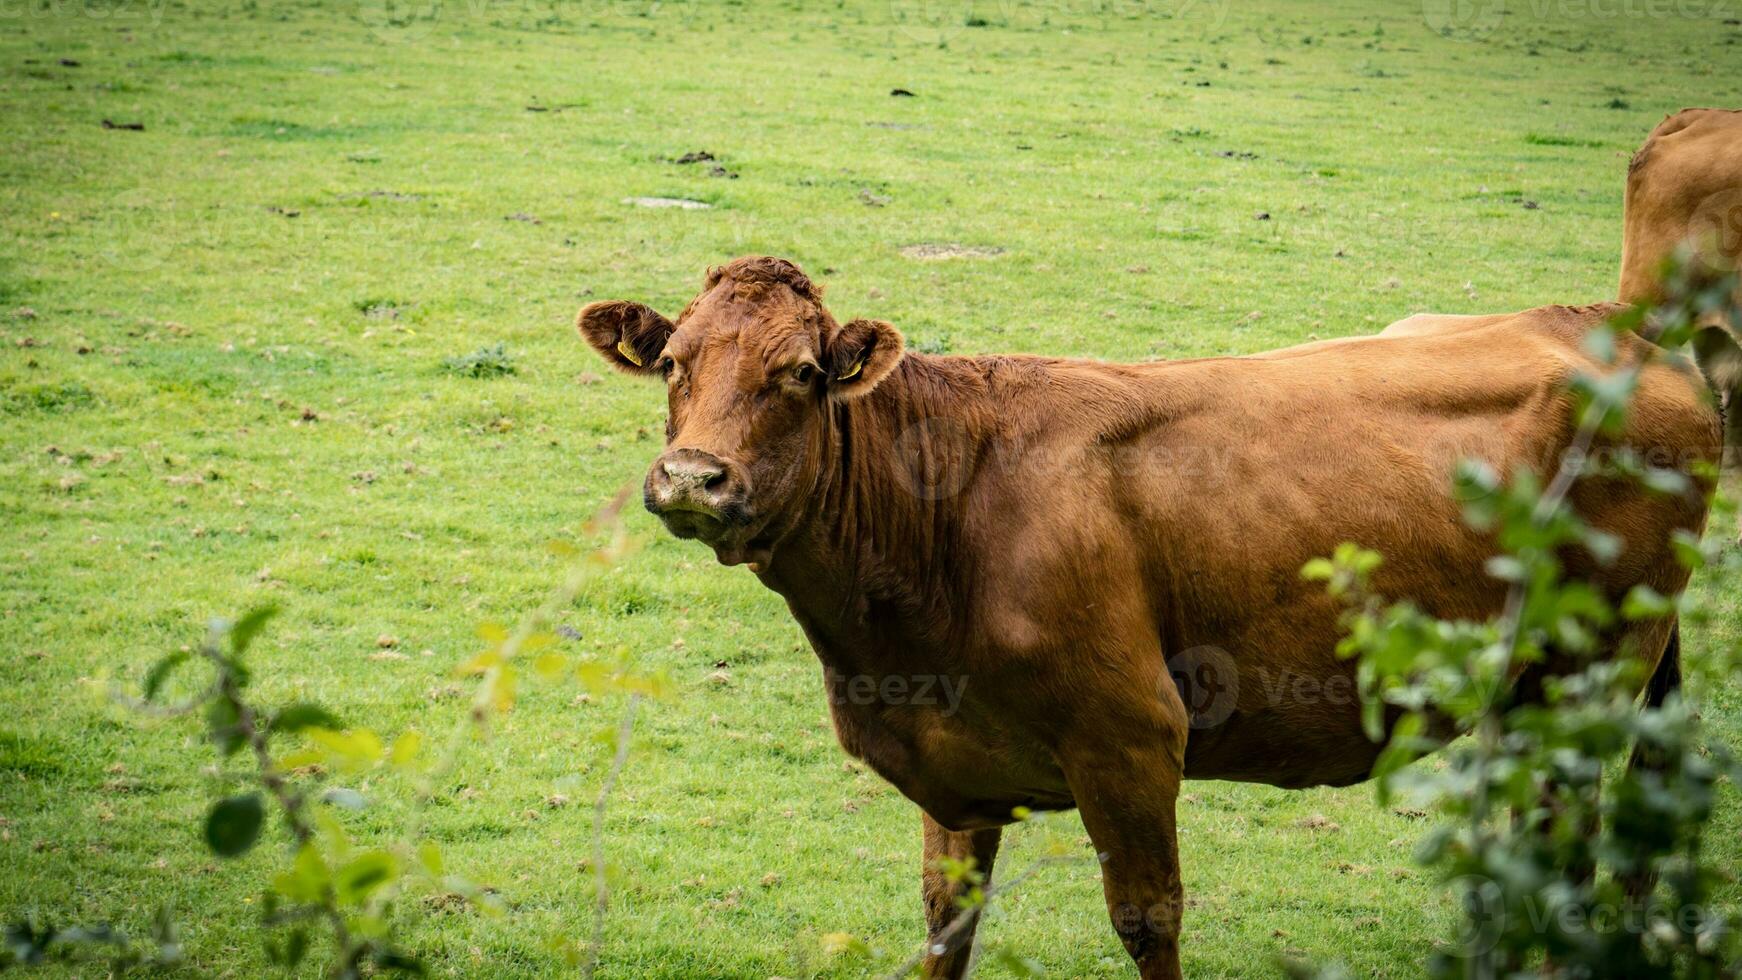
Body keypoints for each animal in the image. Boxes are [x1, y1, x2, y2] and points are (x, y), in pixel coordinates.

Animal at [574, 255, 1714, 980]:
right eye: (672, 362)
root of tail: (1618, 329)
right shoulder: (951, 763)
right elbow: (947, 926)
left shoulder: (1129, 740)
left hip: (1586, 678)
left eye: (803, 373)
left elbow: (1145, 918)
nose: (691, 477)